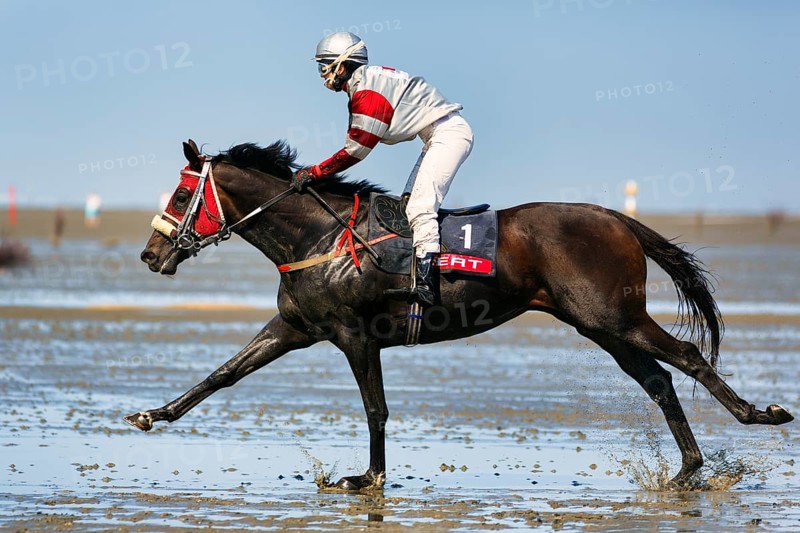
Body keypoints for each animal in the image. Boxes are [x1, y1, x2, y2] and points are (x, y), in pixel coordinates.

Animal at [125, 139, 793, 490]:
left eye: (181, 194)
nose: (151, 254)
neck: (321, 237)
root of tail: (615, 217)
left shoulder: (353, 335)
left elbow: (375, 408)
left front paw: (368, 478)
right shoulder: (295, 327)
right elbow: (222, 375)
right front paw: (152, 414)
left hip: (613, 316)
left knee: (686, 356)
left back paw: (758, 415)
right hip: (598, 324)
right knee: (656, 378)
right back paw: (686, 470)